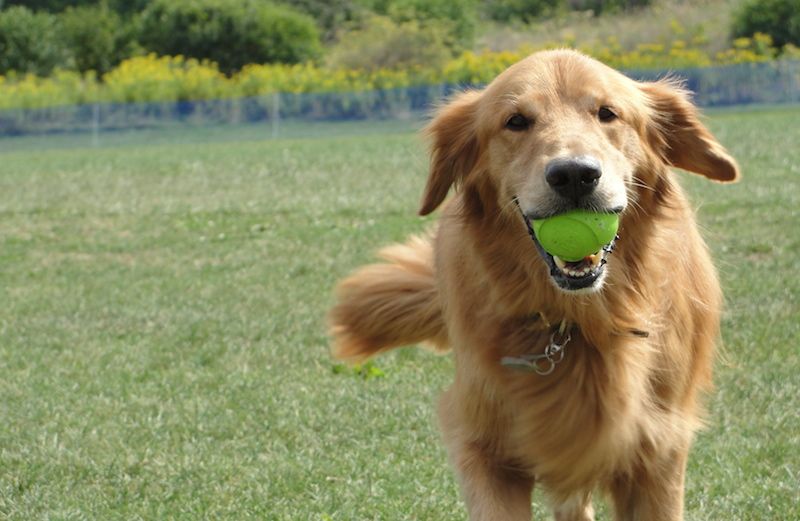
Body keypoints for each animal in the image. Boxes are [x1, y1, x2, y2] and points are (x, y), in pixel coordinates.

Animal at [328, 49, 740, 520]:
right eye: (516, 121)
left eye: (607, 113)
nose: (575, 175)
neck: (575, 322)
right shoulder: (483, 444)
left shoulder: (658, 453)